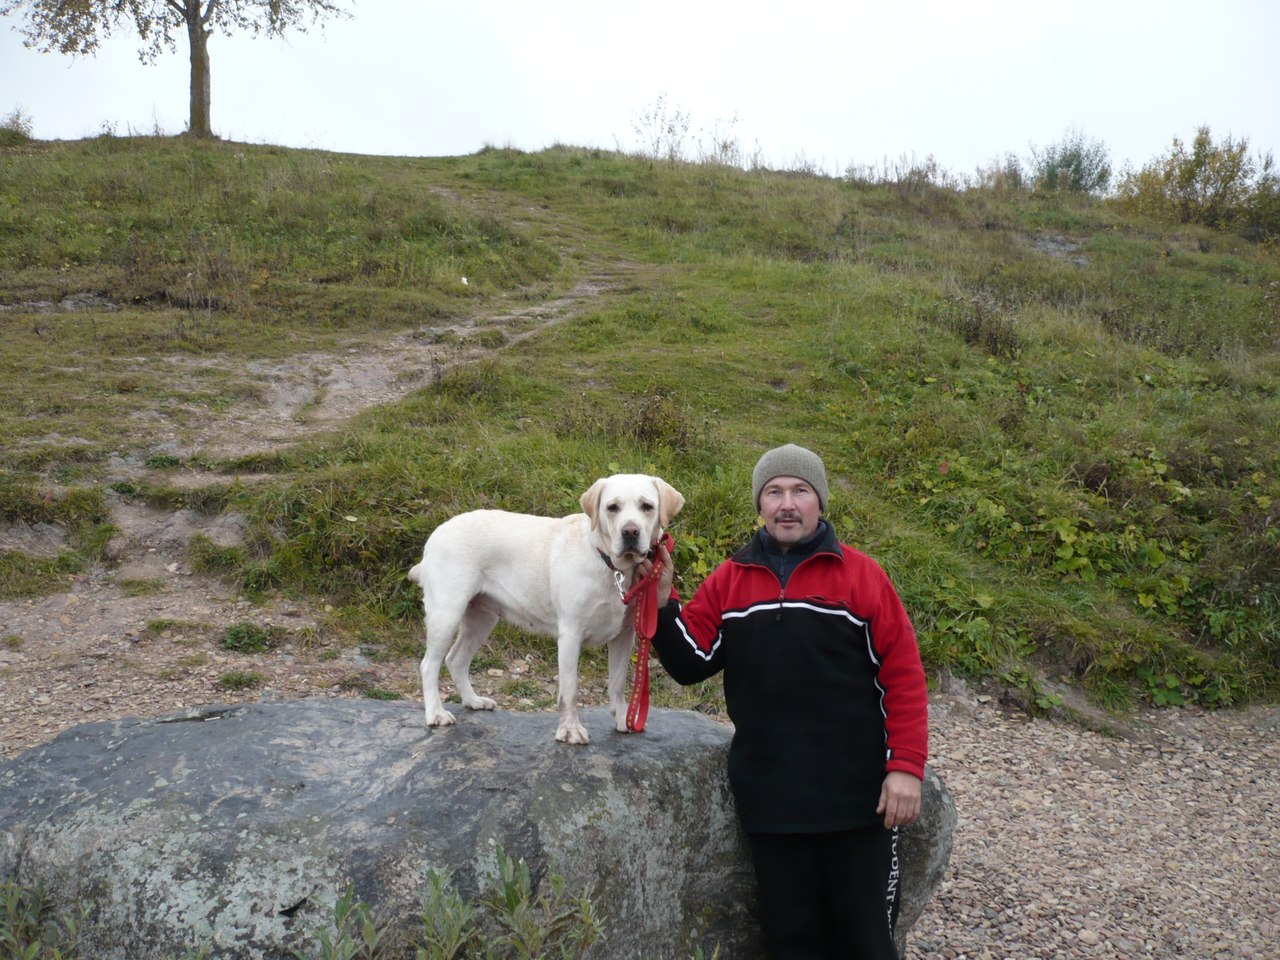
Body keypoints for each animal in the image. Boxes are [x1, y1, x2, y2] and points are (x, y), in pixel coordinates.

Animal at [408, 474, 684, 744]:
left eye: (647, 506)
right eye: (612, 507)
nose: (630, 531)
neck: (612, 568)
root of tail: (436, 534)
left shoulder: (624, 636)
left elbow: (617, 683)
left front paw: (624, 720)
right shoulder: (571, 634)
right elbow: (570, 690)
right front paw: (570, 730)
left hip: (481, 619)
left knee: (456, 659)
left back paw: (473, 701)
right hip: (447, 613)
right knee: (429, 664)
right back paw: (436, 713)